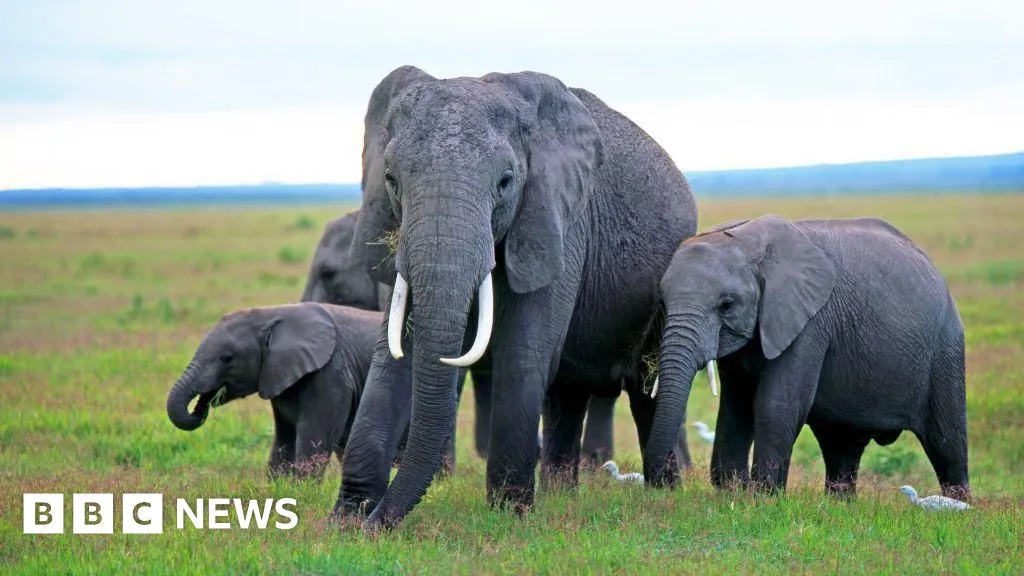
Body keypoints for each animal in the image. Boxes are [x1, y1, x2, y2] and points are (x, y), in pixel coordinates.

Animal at [645, 214, 969, 502]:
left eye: (726, 305)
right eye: (662, 302)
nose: (659, 485)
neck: (747, 240)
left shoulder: (810, 321)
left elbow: (775, 404)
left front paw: (763, 499)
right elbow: (737, 404)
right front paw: (731, 492)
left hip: (945, 346)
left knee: (946, 442)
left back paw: (959, 506)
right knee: (841, 443)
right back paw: (840, 504)